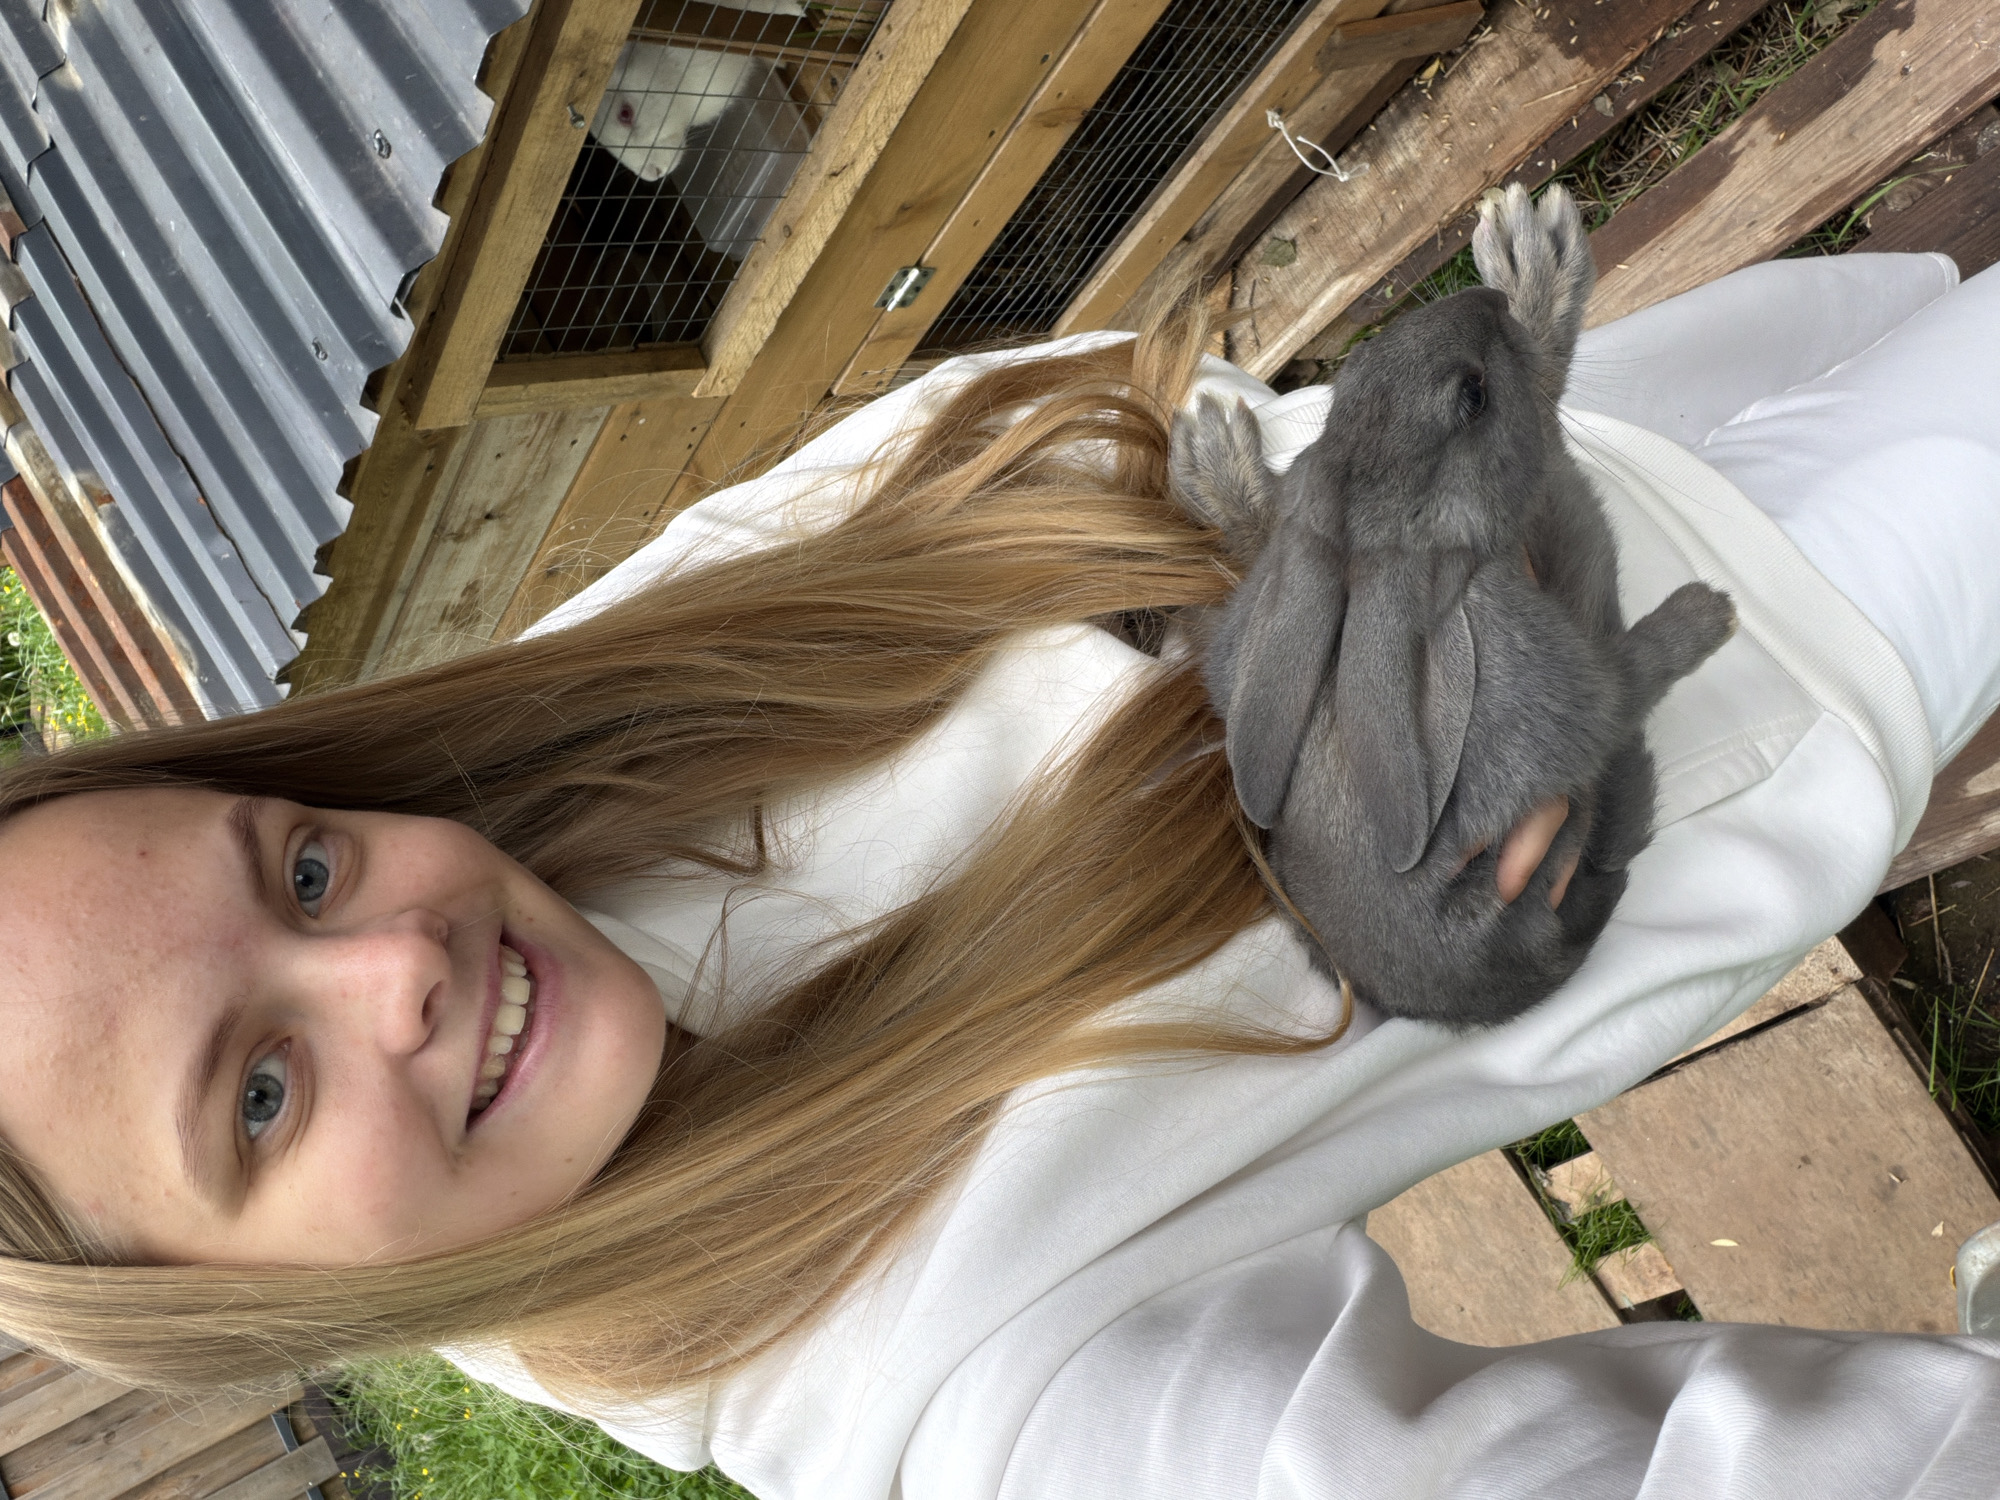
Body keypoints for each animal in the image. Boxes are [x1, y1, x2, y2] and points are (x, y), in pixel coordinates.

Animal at [1171, 183, 1736, 1027]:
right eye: (1471, 394)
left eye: (1359, 367)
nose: (1484, 300)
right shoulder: (1564, 685)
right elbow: (1629, 676)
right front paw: (1712, 613)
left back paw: (1211, 451)